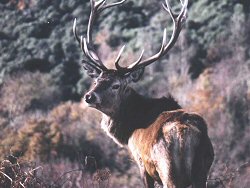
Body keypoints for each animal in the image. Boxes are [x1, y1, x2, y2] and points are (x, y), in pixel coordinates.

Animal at [73, 0, 214, 188]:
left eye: (116, 85)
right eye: (96, 81)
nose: (89, 96)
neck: (129, 130)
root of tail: (184, 133)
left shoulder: (141, 164)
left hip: (168, 169)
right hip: (201, 169)